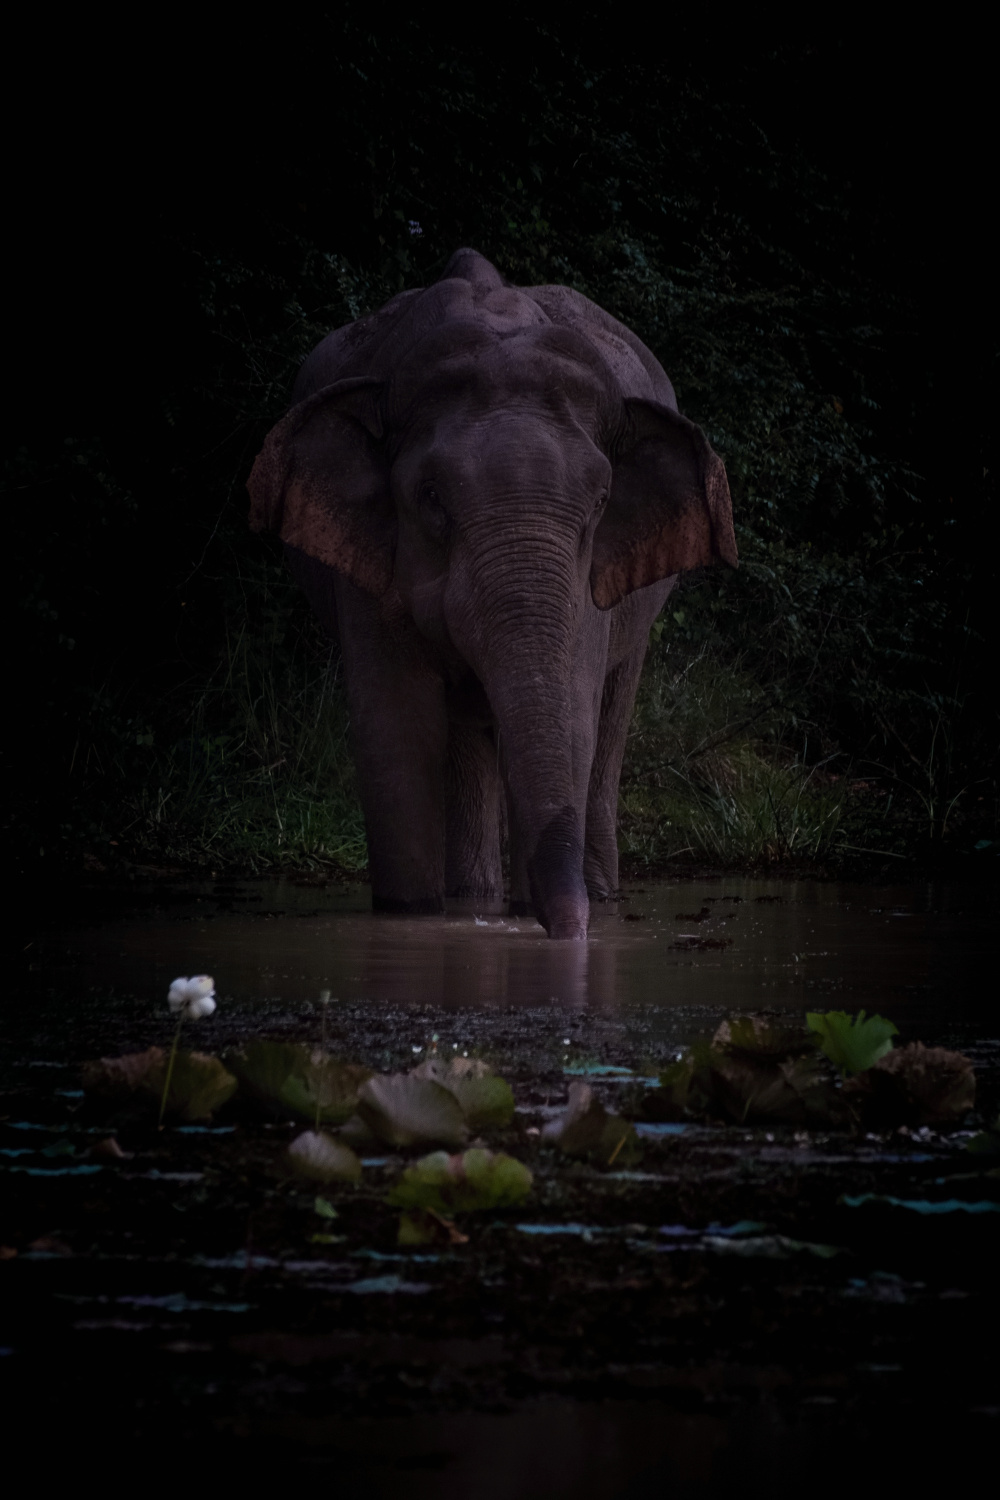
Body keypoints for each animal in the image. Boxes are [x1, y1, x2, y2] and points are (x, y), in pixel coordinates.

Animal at [250, 247, 734, 936]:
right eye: (430, 496)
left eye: (601, 501)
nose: (571, 934)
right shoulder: (368, 570)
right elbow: (395, 729)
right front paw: (413, 917)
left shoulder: (589, 581)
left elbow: (573, 715)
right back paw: (474, 901)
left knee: (608, 722)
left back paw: (592, 896)